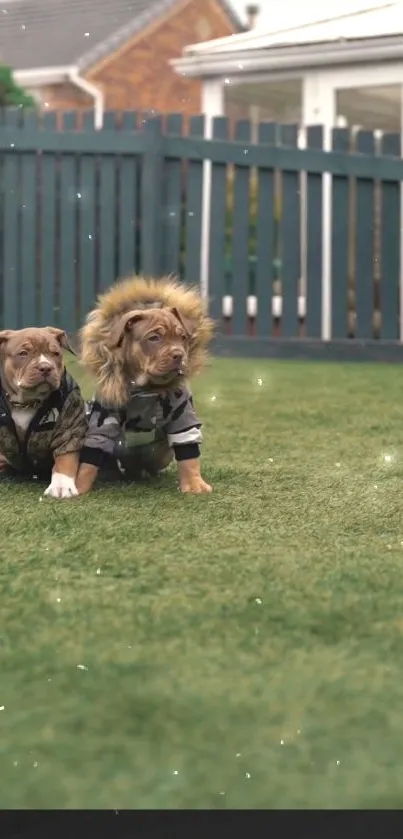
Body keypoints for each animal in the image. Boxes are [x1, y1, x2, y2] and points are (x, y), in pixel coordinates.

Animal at [0, 328, 87, 498]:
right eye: (23, 353)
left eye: (55, 353)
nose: (46, 367)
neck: (26, 403)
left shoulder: (69, 427)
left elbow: (65, 459)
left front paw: (61, 486)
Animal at [76, 276, 215, 496]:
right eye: (154, 338)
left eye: (183, 337)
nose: (179, 355)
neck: (145, 387)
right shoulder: (103, 418)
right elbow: (90, 460)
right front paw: (78, 485)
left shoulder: (183, 417)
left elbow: (189, 456)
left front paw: (194, 484)